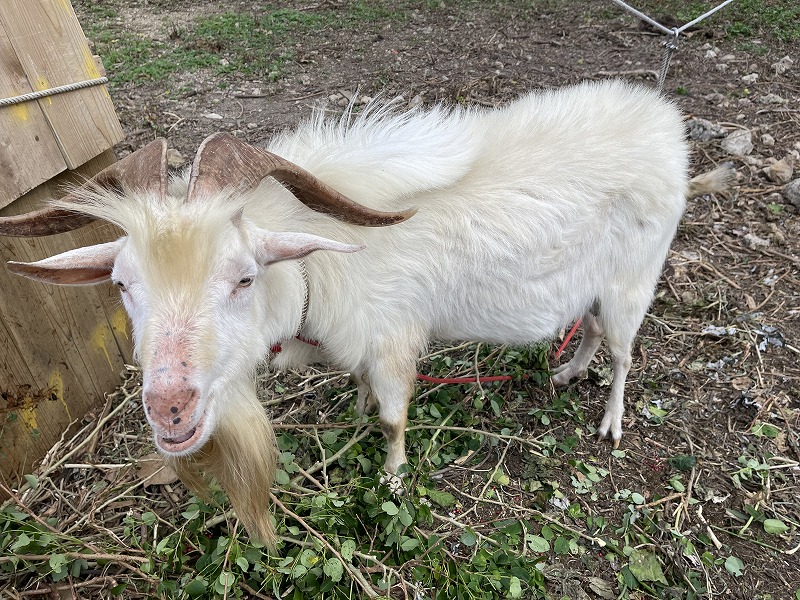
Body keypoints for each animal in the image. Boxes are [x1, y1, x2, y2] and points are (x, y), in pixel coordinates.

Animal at [0, 79, 732, 544]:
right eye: (124, 283)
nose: (169, 408)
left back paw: (610, 420)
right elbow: (359, 390)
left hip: (634, 278)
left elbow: (393, 417)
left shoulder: (392, 338)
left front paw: (392, 478)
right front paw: (351, 412)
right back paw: (567, 372)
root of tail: (667, 128)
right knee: (592, 331)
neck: (316, 261)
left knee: (626, 351)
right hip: (594, 286)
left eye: (243, 277)